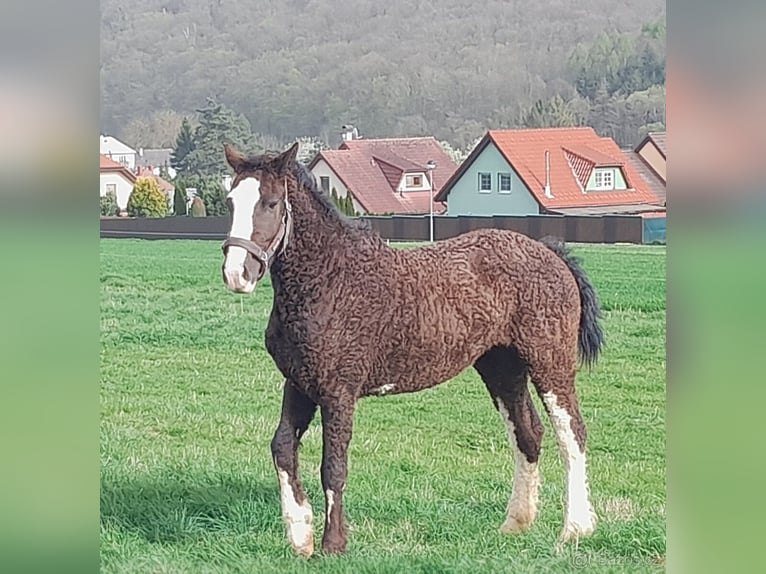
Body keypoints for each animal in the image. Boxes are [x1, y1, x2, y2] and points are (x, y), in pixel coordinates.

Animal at [219, 141, 604, 560]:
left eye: (271, 203)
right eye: (230, 201)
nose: (237, 274)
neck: (330, 280)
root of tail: (551, 253)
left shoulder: (338, 391)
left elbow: (333, 465)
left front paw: (333, 544)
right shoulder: (299, 383)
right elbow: (283, 447)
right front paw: (300, 536)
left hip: (550, 363)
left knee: (572, 433)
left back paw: (575, 529)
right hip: (502, 367)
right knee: (528, 432)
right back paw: (516, 523)